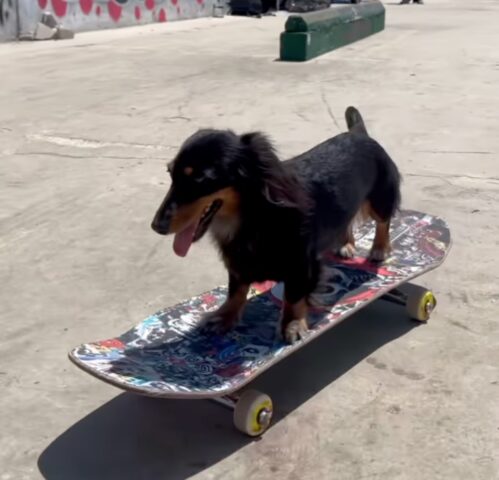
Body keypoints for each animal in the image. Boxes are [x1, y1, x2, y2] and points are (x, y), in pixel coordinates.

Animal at [152, 107, 402, 344]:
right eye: (169, 172)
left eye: (201, 179)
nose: (157, 226)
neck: (253, 217)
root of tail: (359, 133)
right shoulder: (239, 263)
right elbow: (236, 290)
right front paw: (224, 316)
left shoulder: (302, 264)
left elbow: (293, 295)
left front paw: (292, 324)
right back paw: (346, 245)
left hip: (380, 199)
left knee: (383, 222)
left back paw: (379, 248)